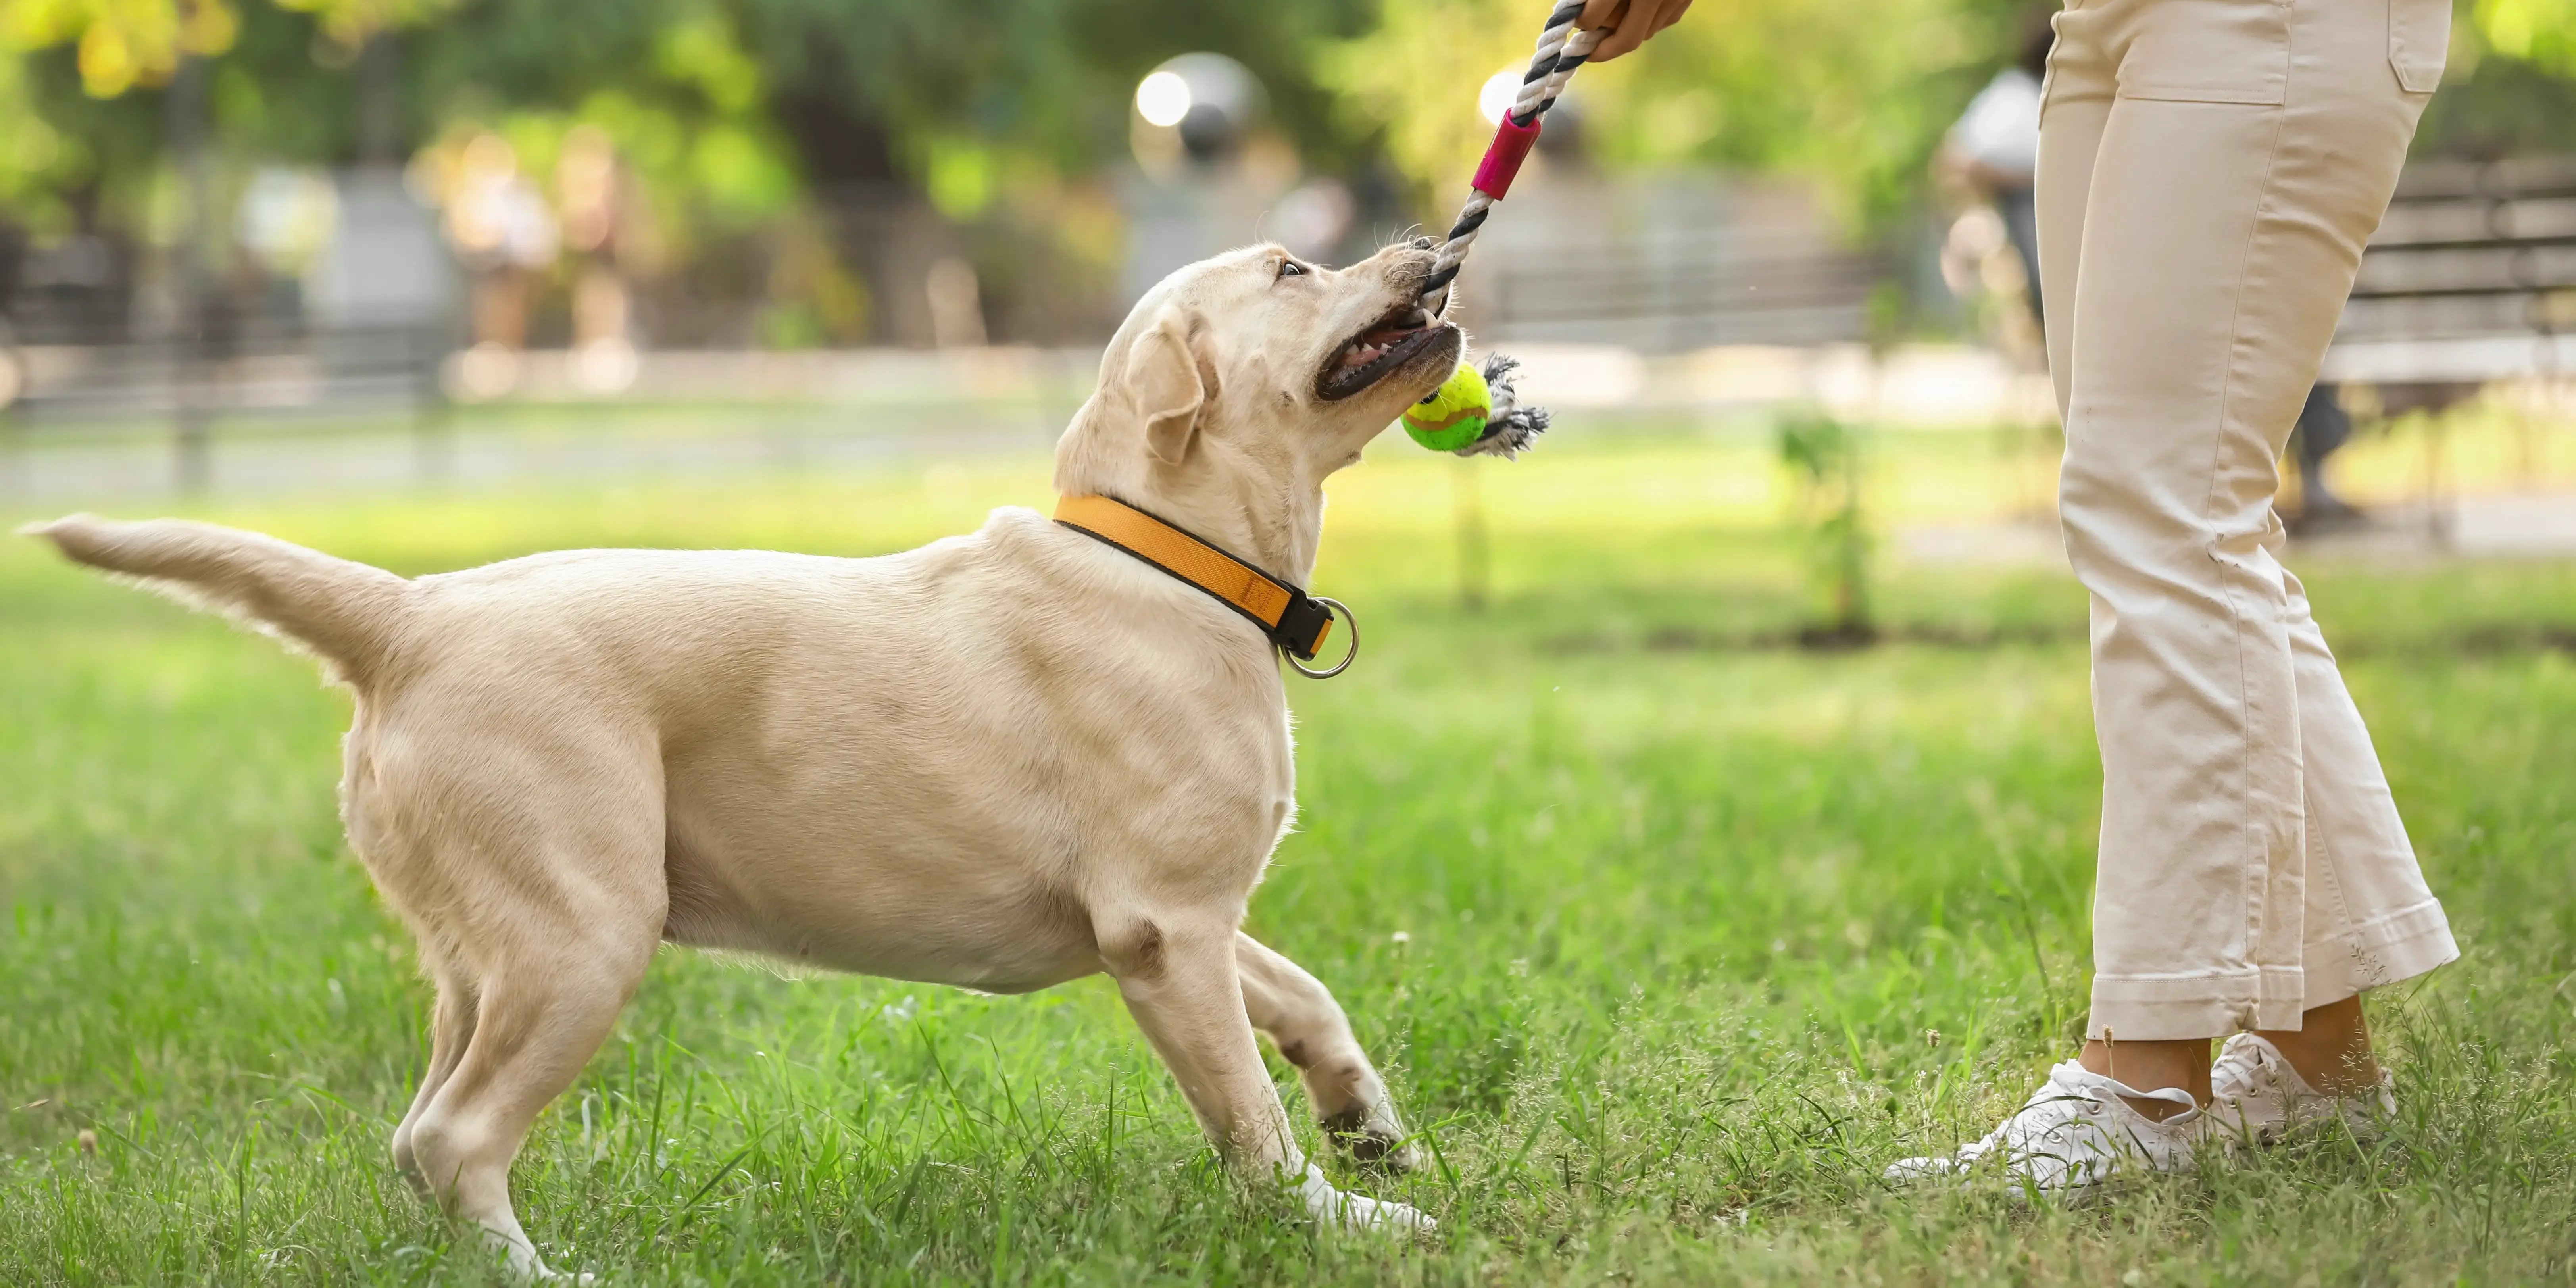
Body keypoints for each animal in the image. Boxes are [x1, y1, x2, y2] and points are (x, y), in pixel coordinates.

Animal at [30, 242, 1463, 1278]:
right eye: (1293, 269)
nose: (1432, 249)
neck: (1167, 556)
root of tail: (410, 615)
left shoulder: (1181, 919)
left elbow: (1304, 996)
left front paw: (1367, 1123)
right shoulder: (1164, 928)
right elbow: (1246, 1116)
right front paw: (1342, 1219)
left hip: (480, 955)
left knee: (415, 1131)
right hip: (584, 934)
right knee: (454, 1135)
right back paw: (538, 1271)